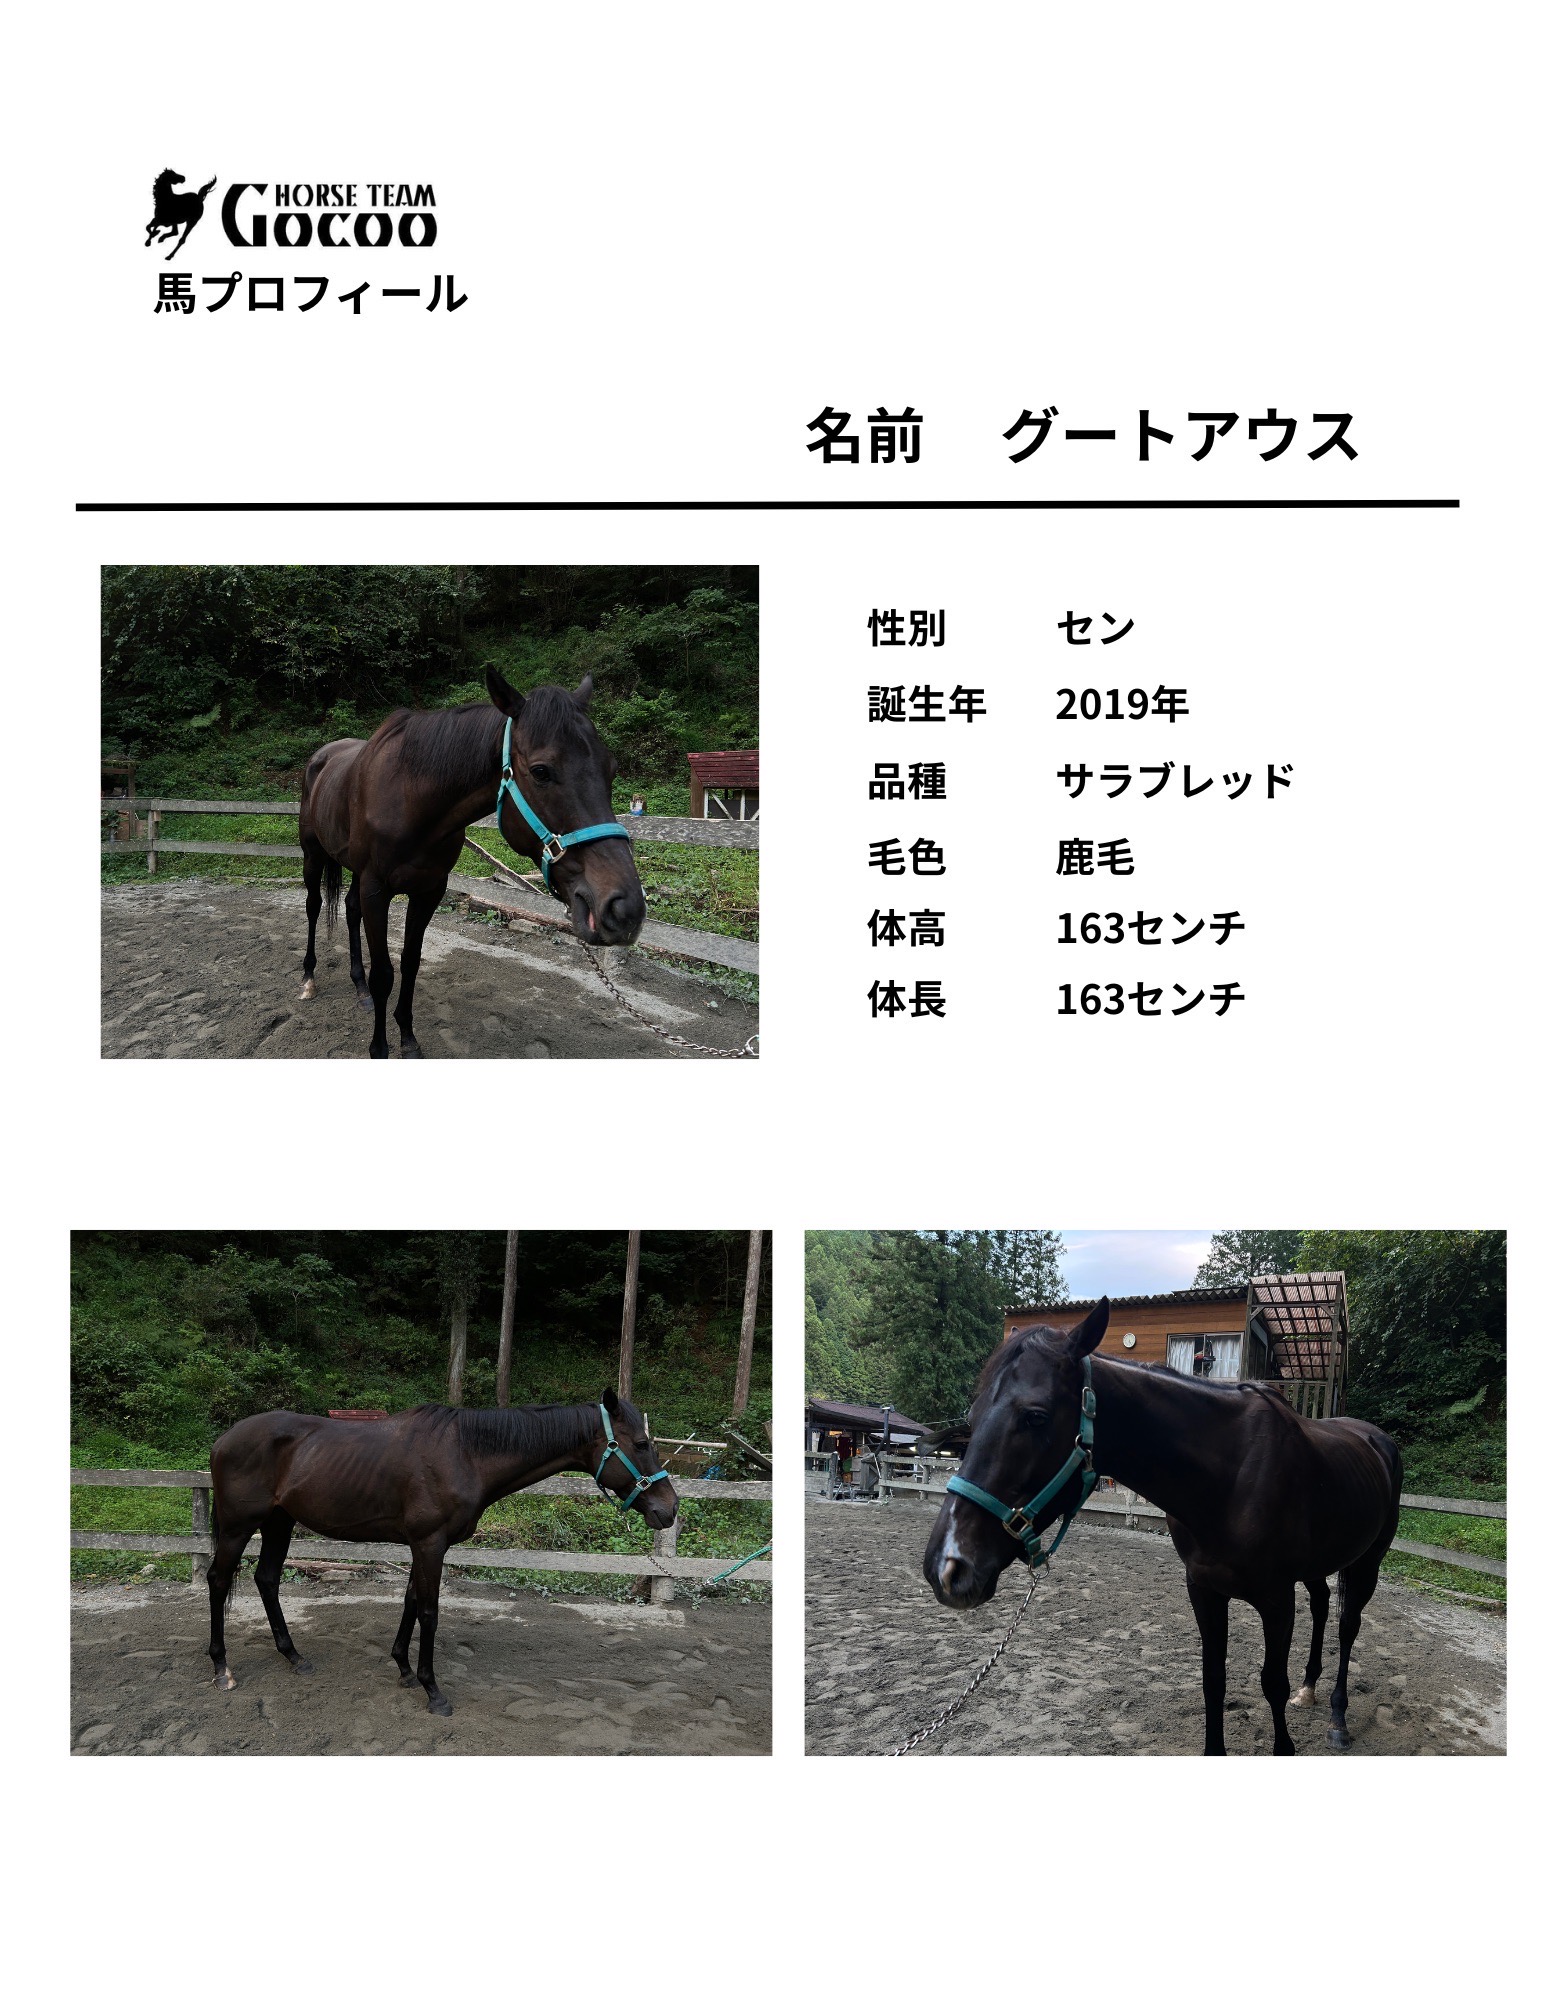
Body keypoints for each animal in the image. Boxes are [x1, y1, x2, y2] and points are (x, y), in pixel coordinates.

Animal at [205, 1389, 676, 1716]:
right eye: (640, 1444)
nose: (668, 1510)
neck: (465, 1453)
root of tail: (223, 1439)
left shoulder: (424, 1546)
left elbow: (412, 1602)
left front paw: (404, 1669)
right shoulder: (430, 1543)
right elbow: (430, 1612)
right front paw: (434, 1691)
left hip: (278, 1523)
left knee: (266, 1580)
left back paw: (294, 1657)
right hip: (237, 1528)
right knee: (218, 1580)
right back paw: (221, 1669)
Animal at [297, 667, 644, 1058]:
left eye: (611, 769)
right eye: (541, 771)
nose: (626, 907)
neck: (409, 800)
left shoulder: (429, 891)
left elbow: (411, 962)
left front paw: (408, 1039)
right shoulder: (377, 890)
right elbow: (383, 974)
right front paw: (379, 1048)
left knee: (350, 908)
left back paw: (358, 988)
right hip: (313, 855)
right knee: (314, 906)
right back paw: (308, 979)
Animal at [923, 1299, 1403, 1754]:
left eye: (1035, 1416)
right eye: (973, 1417)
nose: (945, 1567)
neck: (1229, 1478)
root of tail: (1378, 1440)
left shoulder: (1276, 1599)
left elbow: (1272, 1684)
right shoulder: (1204, 1589)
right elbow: (1213, 1680)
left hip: (1367, 1563)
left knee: (1347, 1626)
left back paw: (1338, 1720)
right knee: (1322, 1605)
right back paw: (1309, 1689)